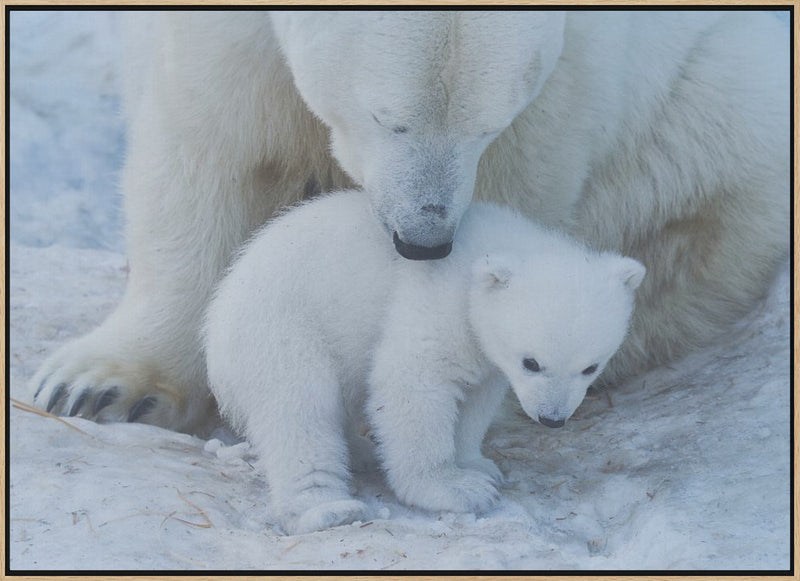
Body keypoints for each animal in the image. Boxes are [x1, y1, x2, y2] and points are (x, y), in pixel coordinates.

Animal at [29, 11, 788, 432]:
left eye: (487, 124)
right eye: (387, 116)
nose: (423, 240)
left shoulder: (565, 82)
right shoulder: (225, 37)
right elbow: (210, 147)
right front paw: (98, 386)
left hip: (710, 108)